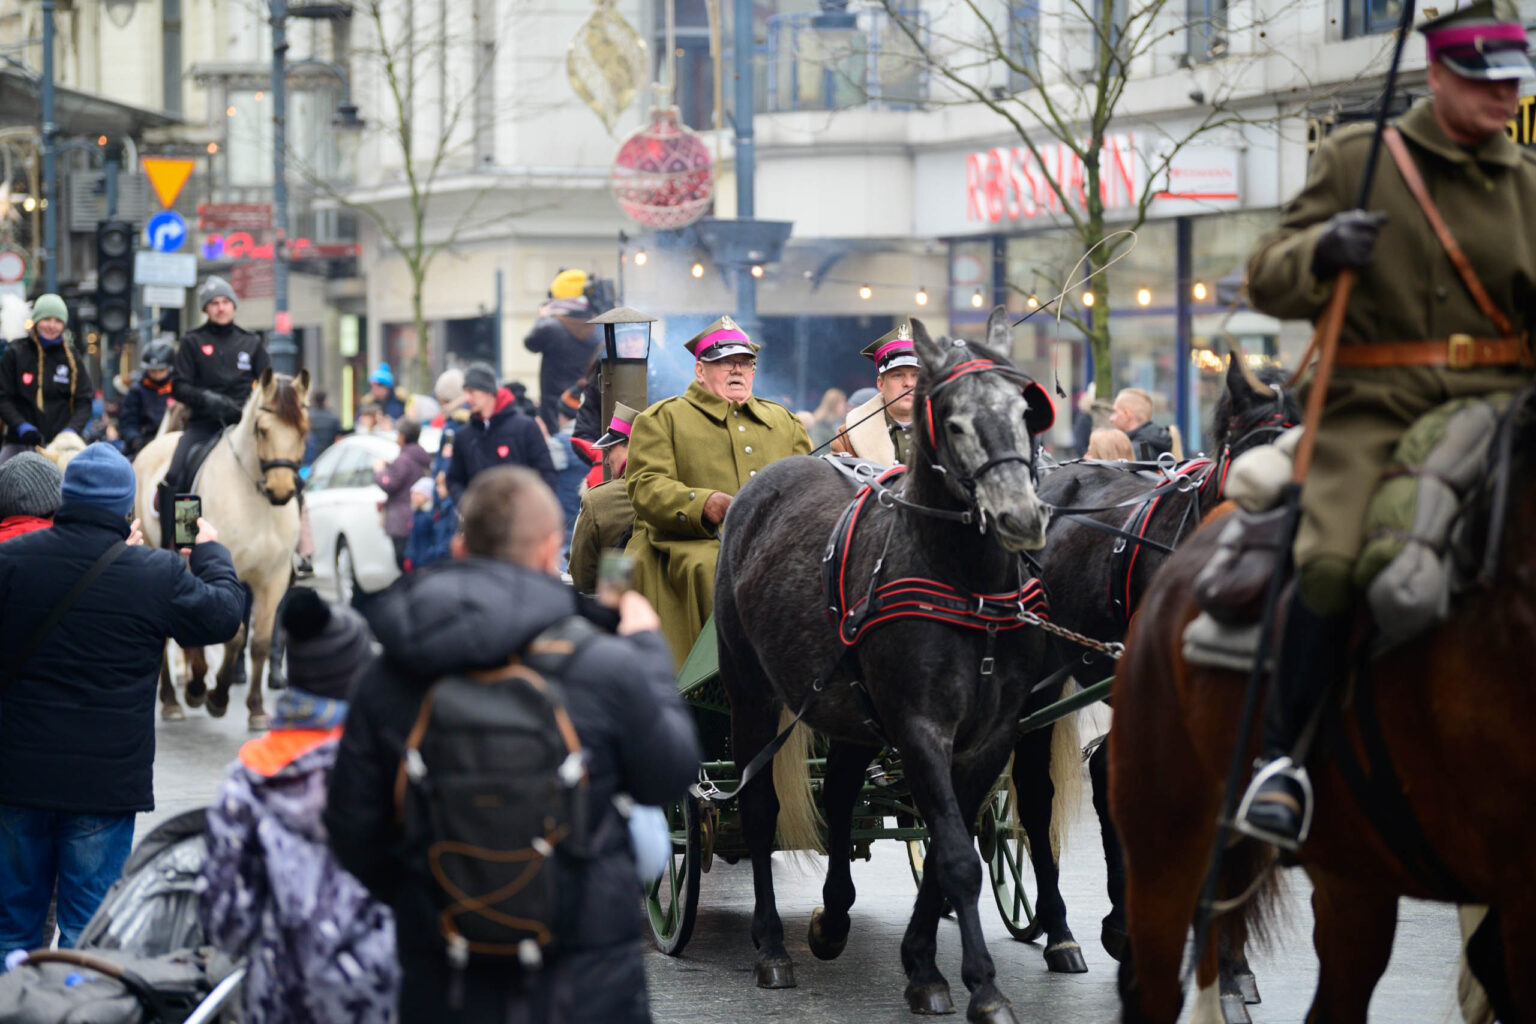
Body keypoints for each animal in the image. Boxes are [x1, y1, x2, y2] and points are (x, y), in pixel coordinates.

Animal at [134, 368, 308, 727]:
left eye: (303, 429)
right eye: (262, 429)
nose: (282, 490)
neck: (256, 500)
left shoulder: (273, 578)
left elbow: (259, 641)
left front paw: (256, 708)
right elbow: (234, 635)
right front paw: (212, 695)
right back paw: (172, 699)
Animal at [715, 310, 1056, 1024]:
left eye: (1024, 411)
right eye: (953, 422)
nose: (1019, 516)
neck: (967, 586)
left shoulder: (990, 736)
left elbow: (949, 847)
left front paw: (922, 965)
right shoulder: (920, 727)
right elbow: (957, 858)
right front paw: (982, 986)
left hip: (844, 705)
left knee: (841, 795)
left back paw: (833, 918)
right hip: (749, 691)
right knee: (758, 807)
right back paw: (772, 946)